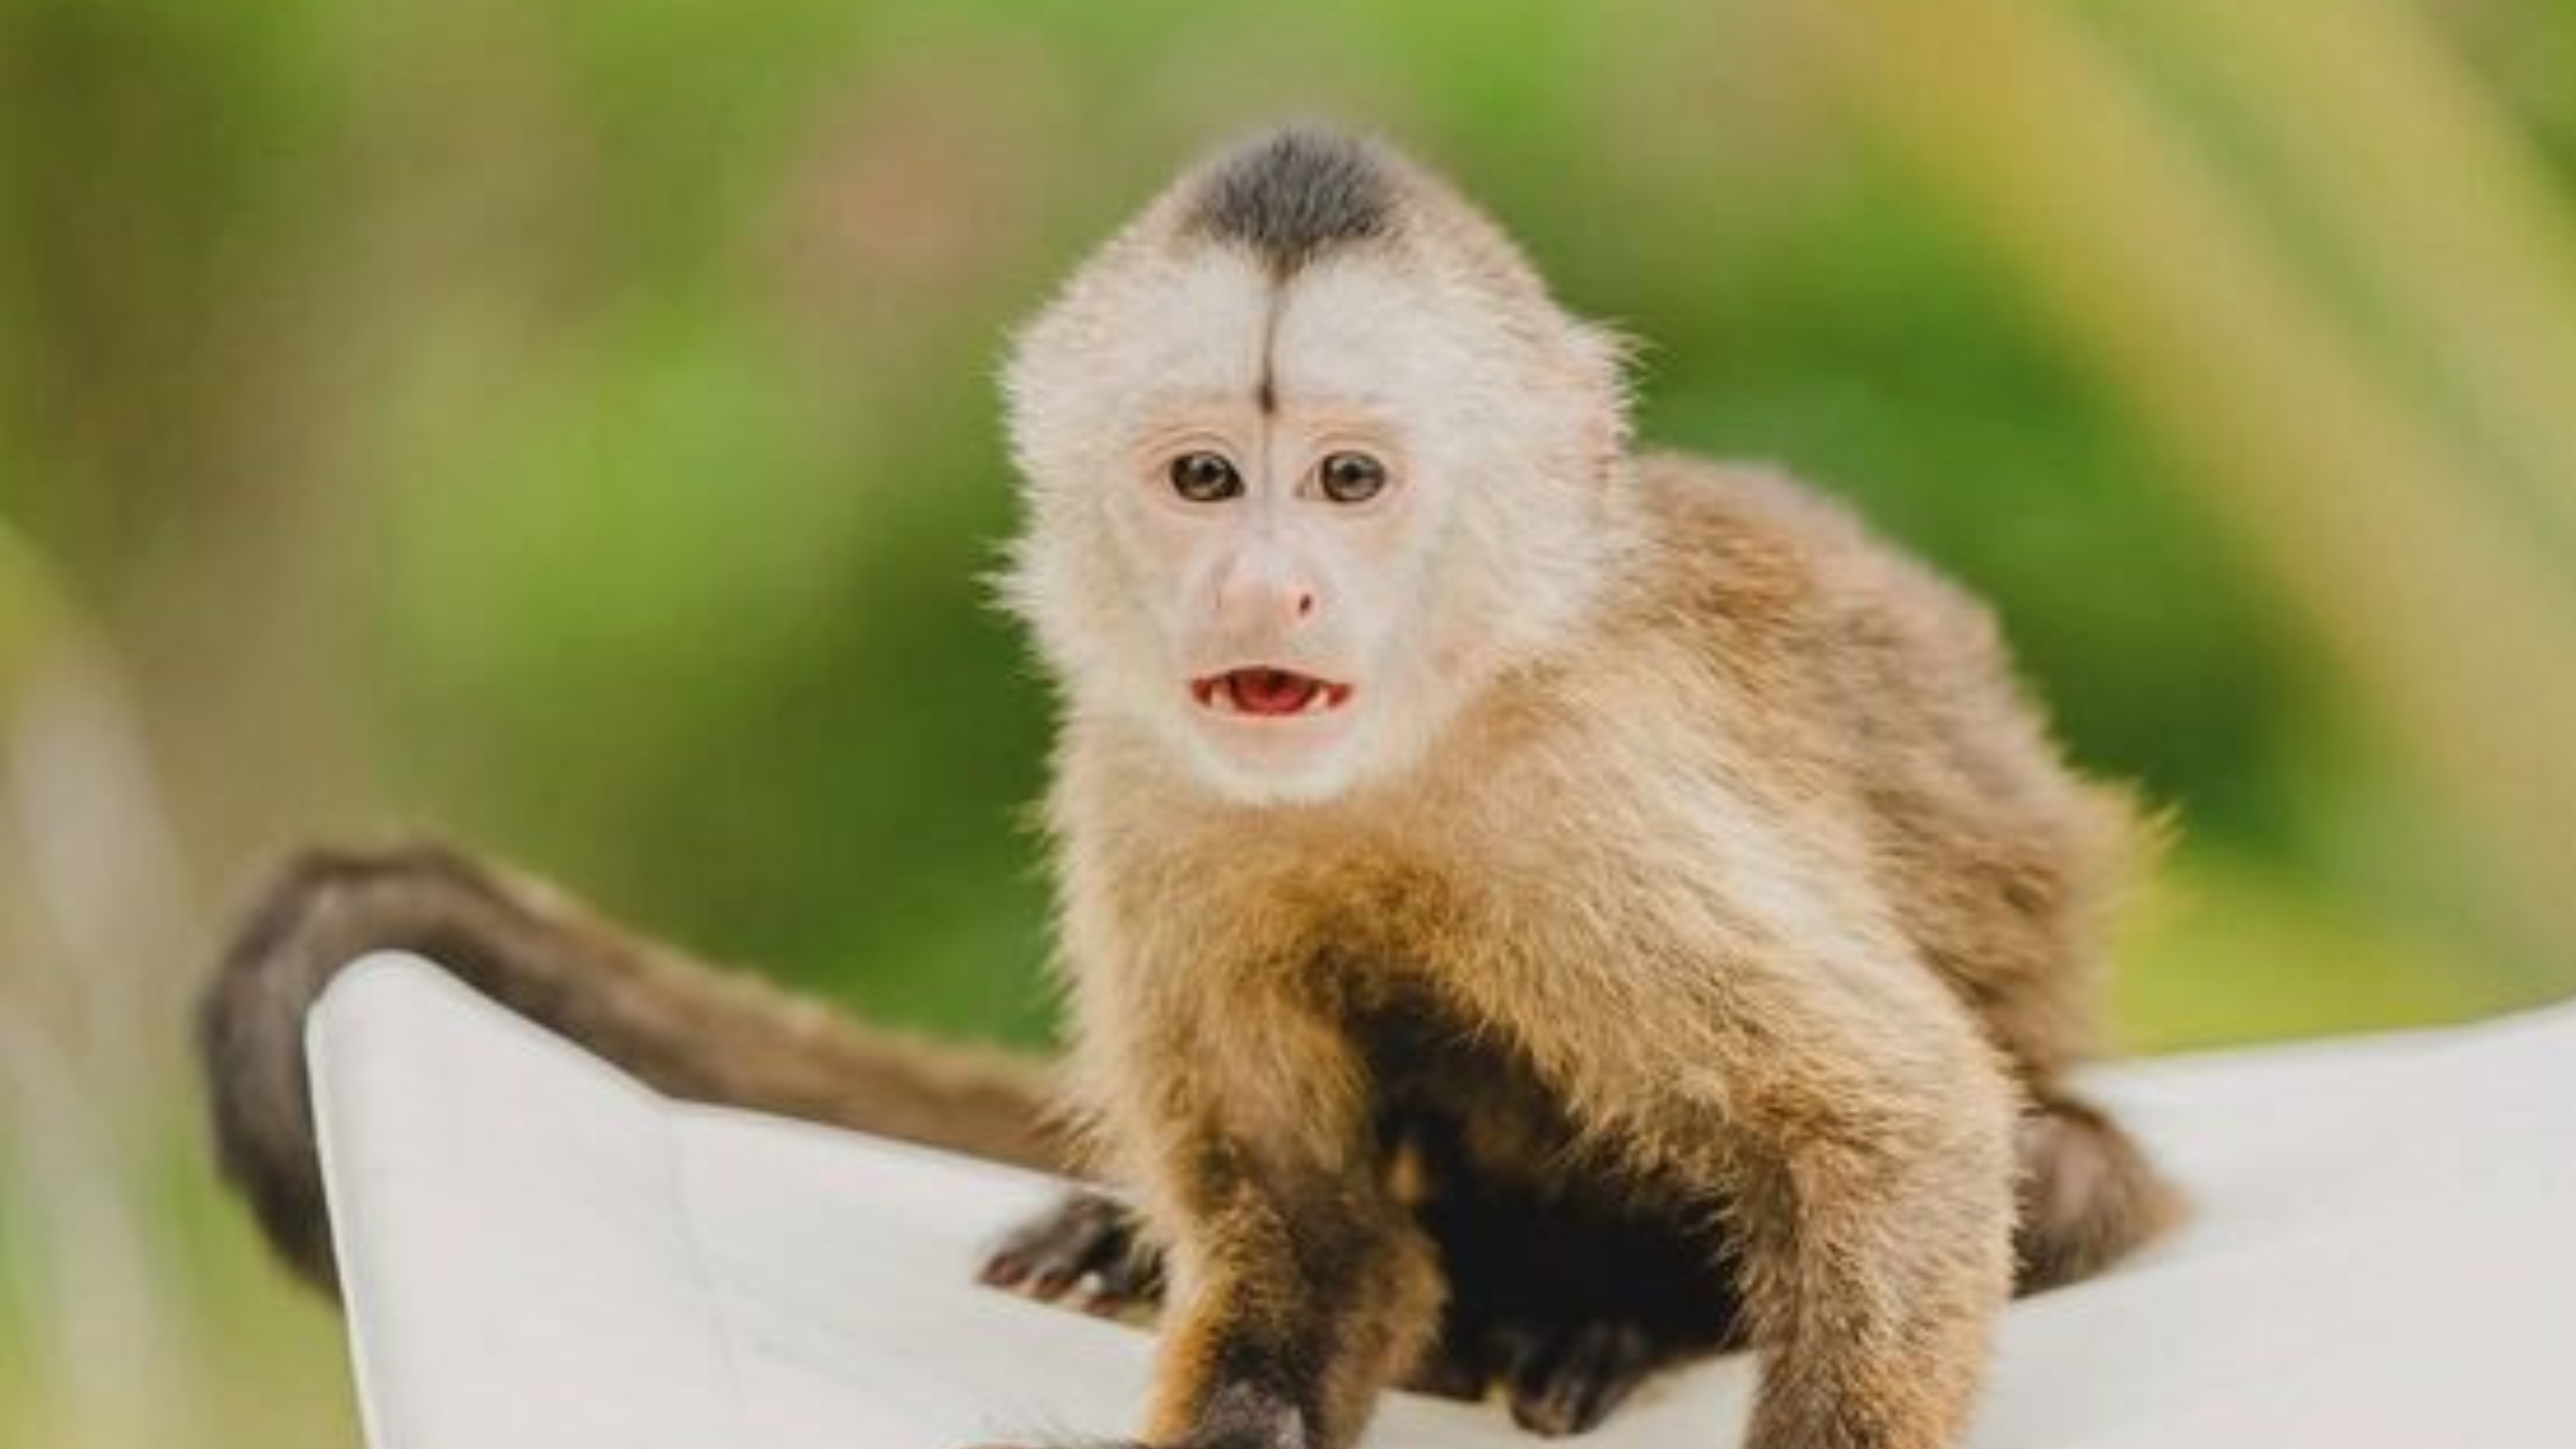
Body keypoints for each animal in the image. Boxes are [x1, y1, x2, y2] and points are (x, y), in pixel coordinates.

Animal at [198, 126, 2180, 1449]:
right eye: (1208, 479)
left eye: (1351, 482)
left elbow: (1896, 1135)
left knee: (2048, 1167)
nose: (1264, 591)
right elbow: (1315, 1236)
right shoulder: (1144, 786)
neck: (1396, 755)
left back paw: (1595, 1309)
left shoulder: (1599, 775)